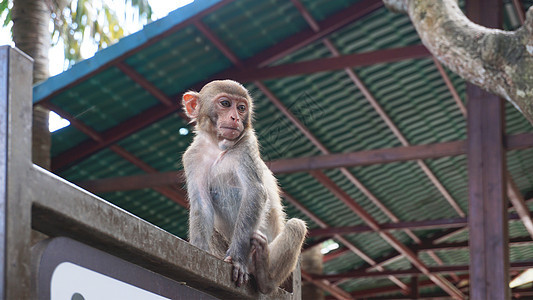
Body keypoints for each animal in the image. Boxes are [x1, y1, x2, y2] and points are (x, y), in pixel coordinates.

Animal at [182, 79, 308, 292]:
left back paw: (265, 276)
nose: (235, 117)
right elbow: (201, 205)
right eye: (225, 104)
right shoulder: (192, 157)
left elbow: (255, 192)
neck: (217, 147)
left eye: (241, 108)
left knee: (295, 226)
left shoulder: (247, 144)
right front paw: (198, 252)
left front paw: (237, 261)